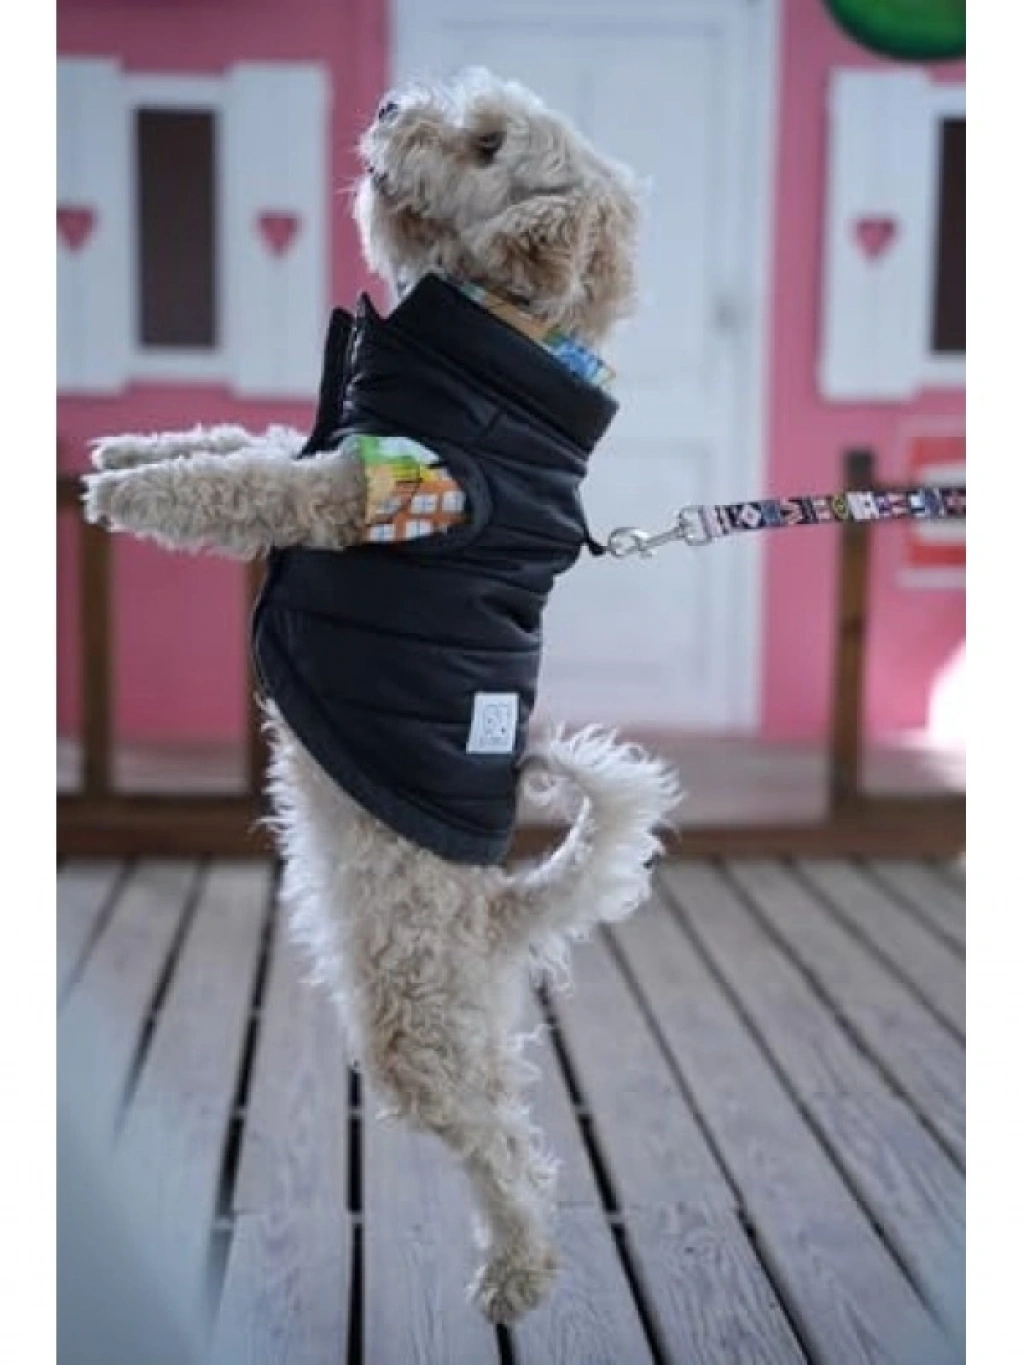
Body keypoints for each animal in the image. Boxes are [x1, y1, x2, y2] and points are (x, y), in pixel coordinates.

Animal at [83, 68, 680, 1323]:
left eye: (489, 143)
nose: (391, 104)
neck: (504, 341)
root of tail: (500, 914)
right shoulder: (327, 442)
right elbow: (234, 431)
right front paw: (124, 452)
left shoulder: (352, 493)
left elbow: (235, 482)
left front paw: (136, 492)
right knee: (512, 1121)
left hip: (414, 1024)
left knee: (505, 1148)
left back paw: (517, 1273)